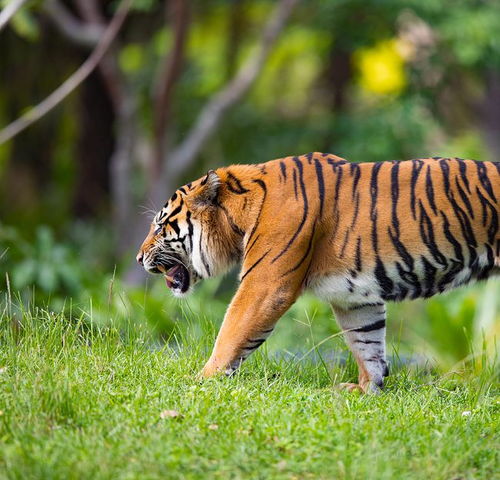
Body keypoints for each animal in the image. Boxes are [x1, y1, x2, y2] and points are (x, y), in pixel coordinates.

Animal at [137, 154, 500, 394]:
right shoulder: (356, 298)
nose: (139, 258)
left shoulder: (265, 286)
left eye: (159, 226)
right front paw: (367, 389)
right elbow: (367, 343)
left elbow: (231, 333)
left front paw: (200, 381)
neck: (242, 209)